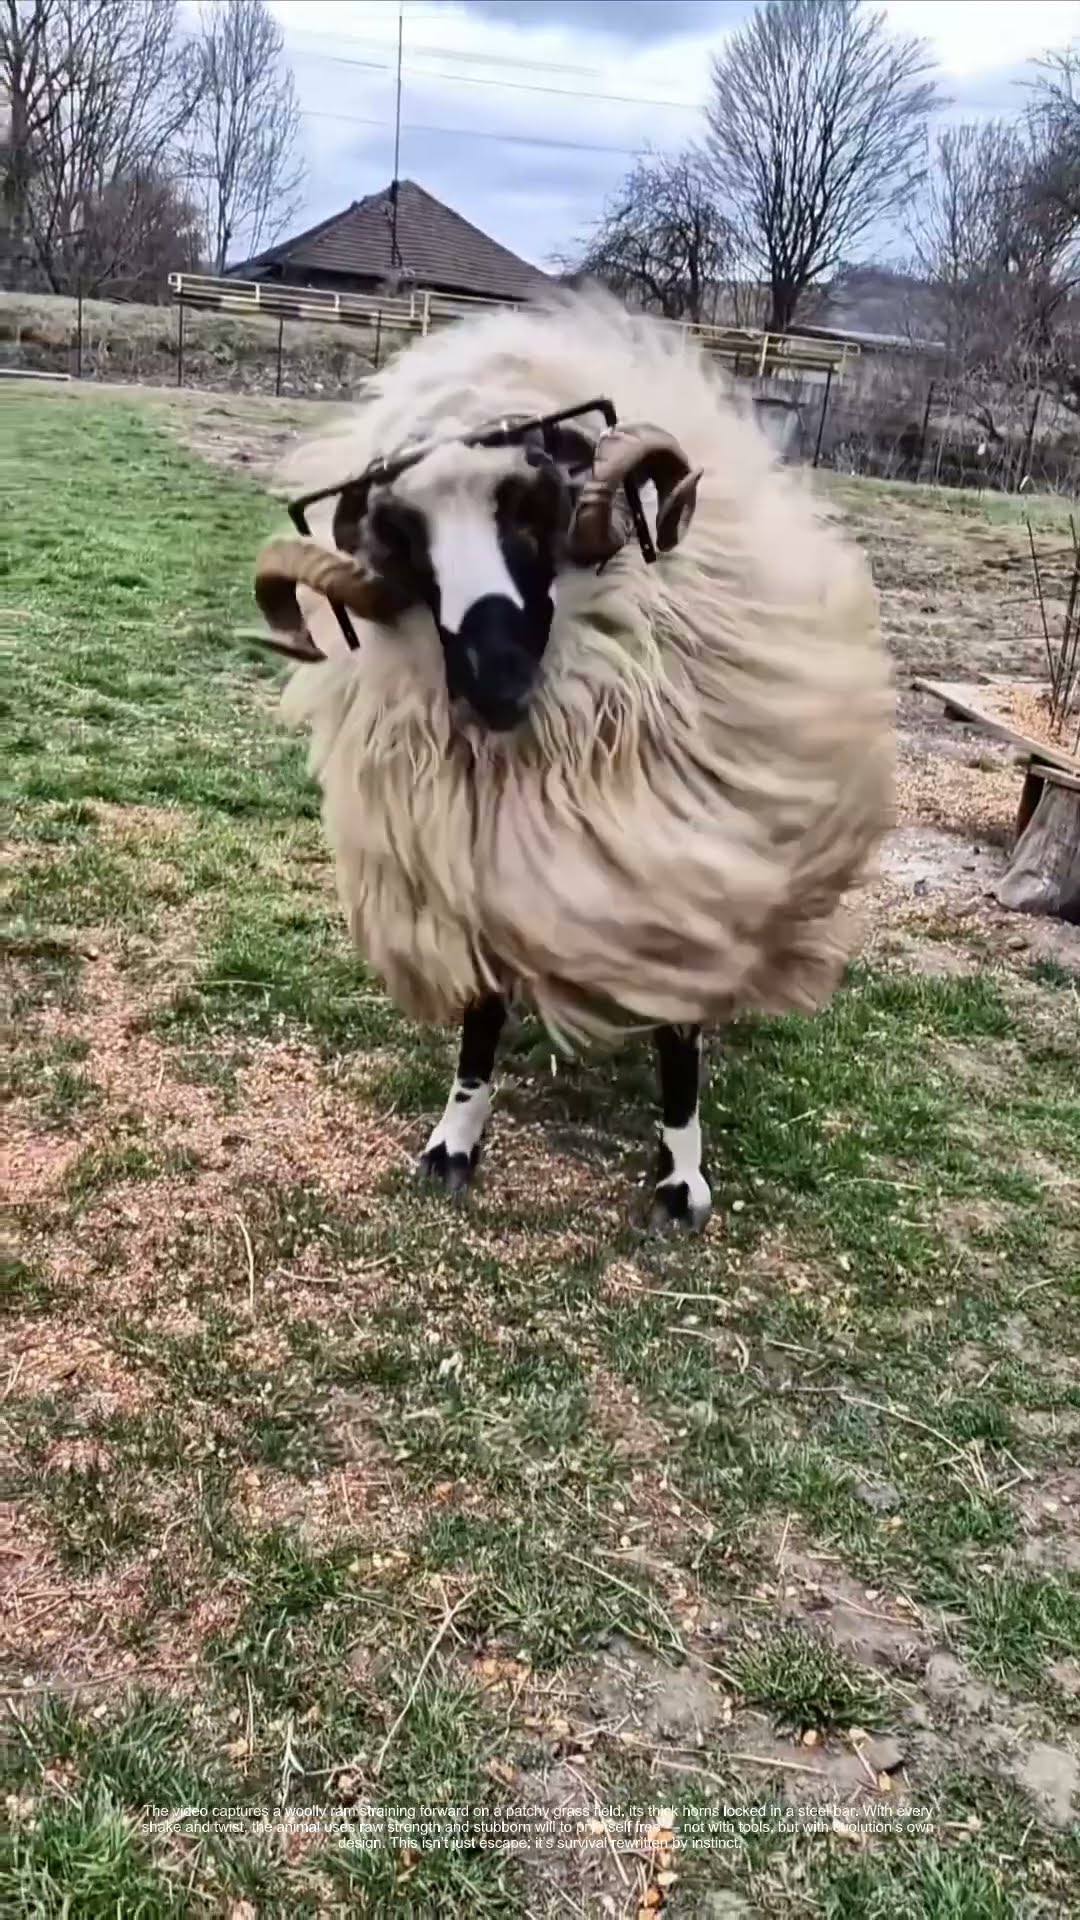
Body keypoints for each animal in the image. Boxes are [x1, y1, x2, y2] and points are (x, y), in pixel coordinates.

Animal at [251, 288, 895, 1230]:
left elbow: (679, 1038)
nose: (493, 683)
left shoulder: (682, 859)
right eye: (404, 543)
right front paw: (455, 1140)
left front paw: (682, 1179)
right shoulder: (473, 861)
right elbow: (481, 1018)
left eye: (531, 514)